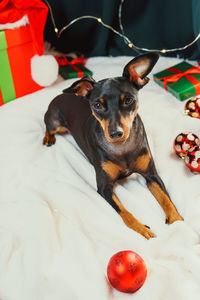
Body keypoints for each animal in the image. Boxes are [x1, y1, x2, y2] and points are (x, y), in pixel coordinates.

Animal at [43, 52, 183, 239]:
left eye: (128, 100)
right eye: (97, 105)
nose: (116, 132)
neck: (122, 148)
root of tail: (62, 94)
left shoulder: (152, 175)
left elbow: (167, 200)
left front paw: (177, 222)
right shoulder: (104, 188)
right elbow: (124, 212)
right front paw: (141, 229)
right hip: (54, 122)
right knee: (48, 127)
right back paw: (48, 138)